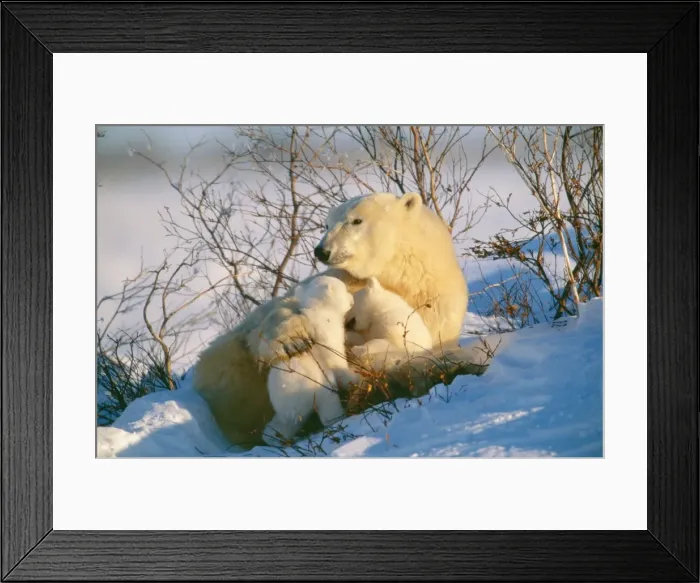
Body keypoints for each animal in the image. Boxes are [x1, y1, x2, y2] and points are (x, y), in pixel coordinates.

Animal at [262, 276, 356, 445]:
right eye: (345, 289)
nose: (352, 299)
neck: (318, 310)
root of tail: (292, 408)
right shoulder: (326, 332)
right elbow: (335, 359)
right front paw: (353, 374)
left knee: (281, 425)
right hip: (315, 385)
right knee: (328, 404)